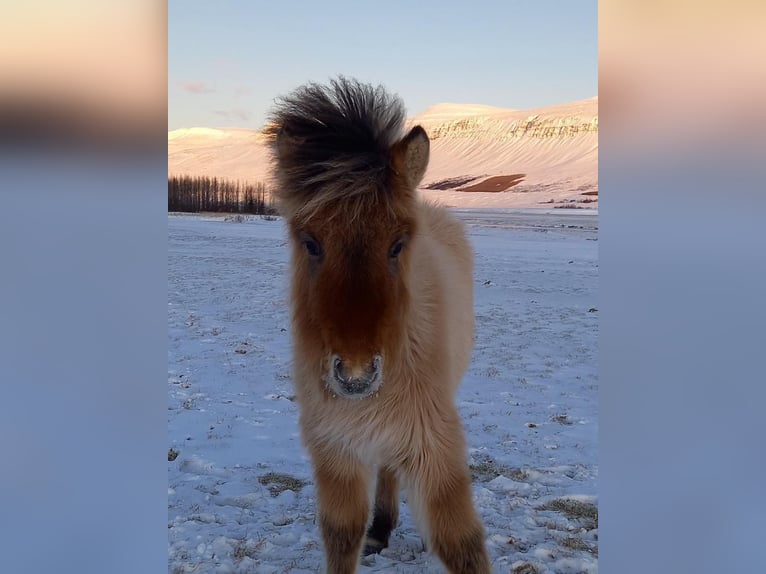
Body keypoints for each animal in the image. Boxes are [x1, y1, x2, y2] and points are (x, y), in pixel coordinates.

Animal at [268, 77, 490, 574]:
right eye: (310, 243)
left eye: (397, 245)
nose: (354, 375)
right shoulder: (335, 447)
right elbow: (341, 534)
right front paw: (368, 534)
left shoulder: (434, 444)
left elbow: (461, 543)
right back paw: (381, 529)